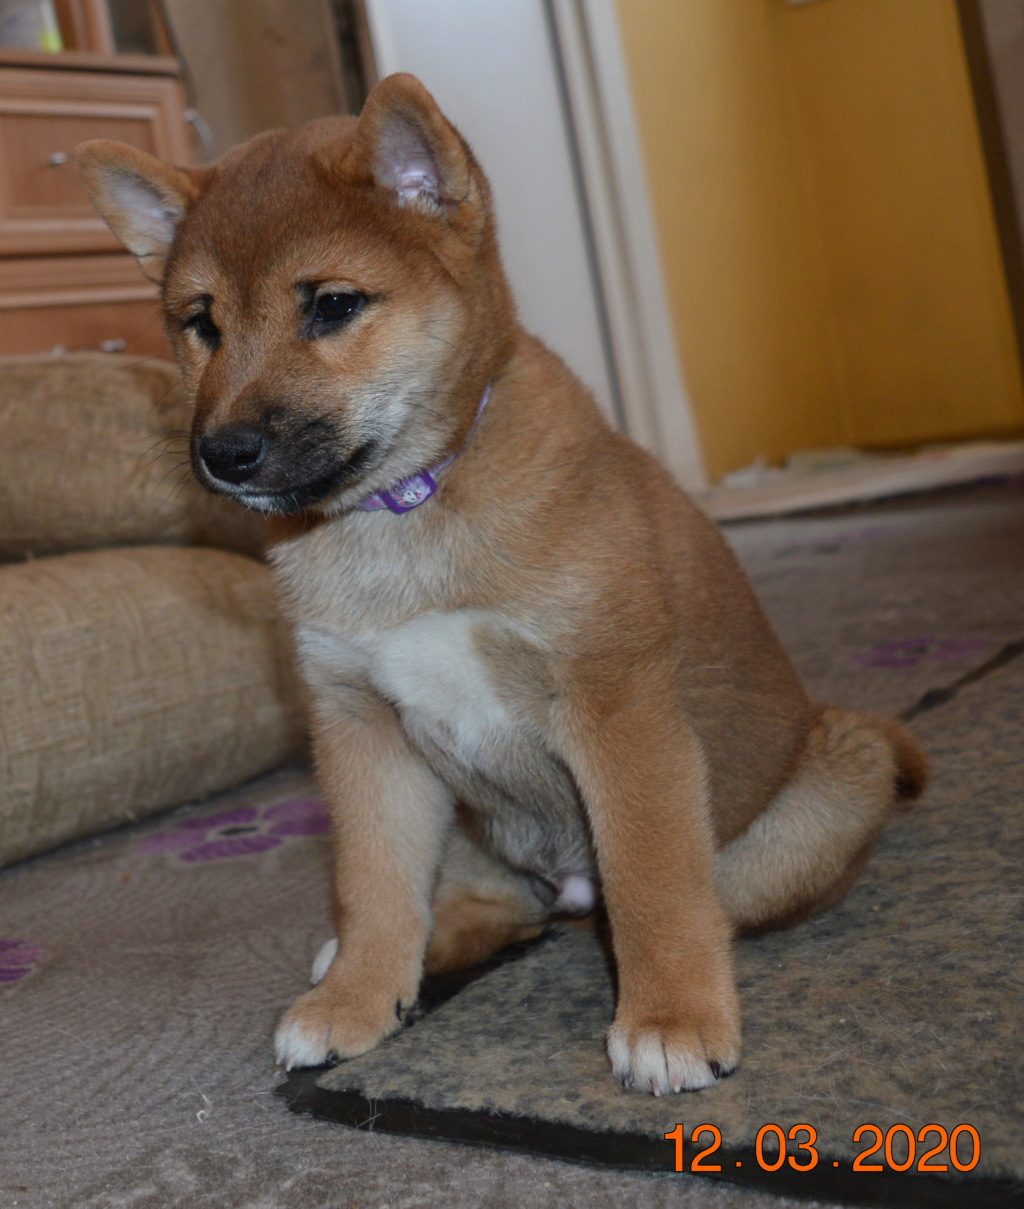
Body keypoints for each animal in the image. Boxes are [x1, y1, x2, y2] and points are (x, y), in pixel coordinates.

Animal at [77, 75, 928, 1097]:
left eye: (331, 306)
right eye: (200, 321)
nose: (223, 452)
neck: (404, 512)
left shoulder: (617, 704)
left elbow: (653, 884)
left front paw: (670, 1018)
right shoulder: (358, 726)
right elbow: (372, 886)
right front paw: (358, 996)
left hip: (825, 789)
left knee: (679, 900)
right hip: (470, 821)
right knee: (484, 908)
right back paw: (371, 960)